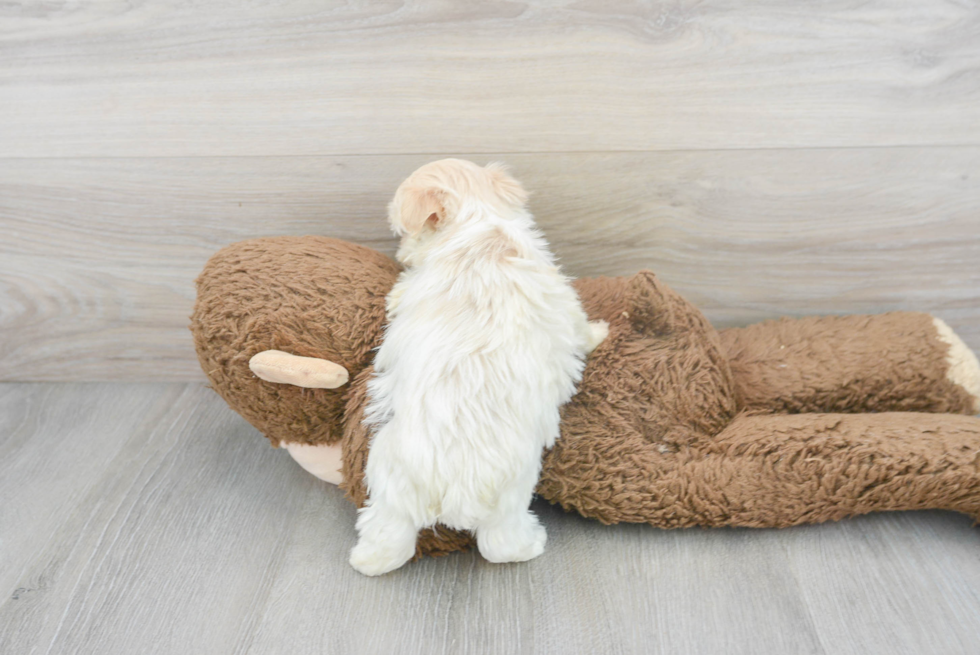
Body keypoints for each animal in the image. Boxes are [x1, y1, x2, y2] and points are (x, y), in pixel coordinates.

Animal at [348, 161, 608, 576]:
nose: (401, 253)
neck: (479, 220)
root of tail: (454, 491)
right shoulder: (566, 304)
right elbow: (582, 329)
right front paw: (603, 332)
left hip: (390, 482)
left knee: (390, 534)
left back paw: (366, 560)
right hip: (511, 492)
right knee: (502, 543)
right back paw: (532, 543)